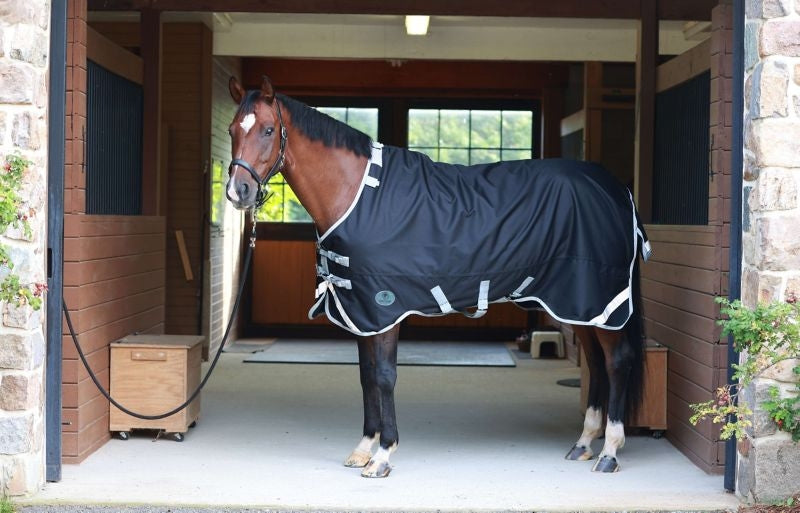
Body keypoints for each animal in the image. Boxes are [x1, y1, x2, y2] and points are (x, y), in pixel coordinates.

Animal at [225, 75, 649, 478]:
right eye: (232, 129)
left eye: (267, 129)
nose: (236, 191)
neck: (358, 193)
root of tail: (617, 190)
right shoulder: (362, 312)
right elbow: (365, 377)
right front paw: (363, 448)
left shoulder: (384, 308)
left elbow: (384, 377)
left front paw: (383, 456)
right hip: (576, 306)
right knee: (595, 363)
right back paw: (584, 443)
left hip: (600, 303)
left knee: (616, 362)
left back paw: (609, 452)